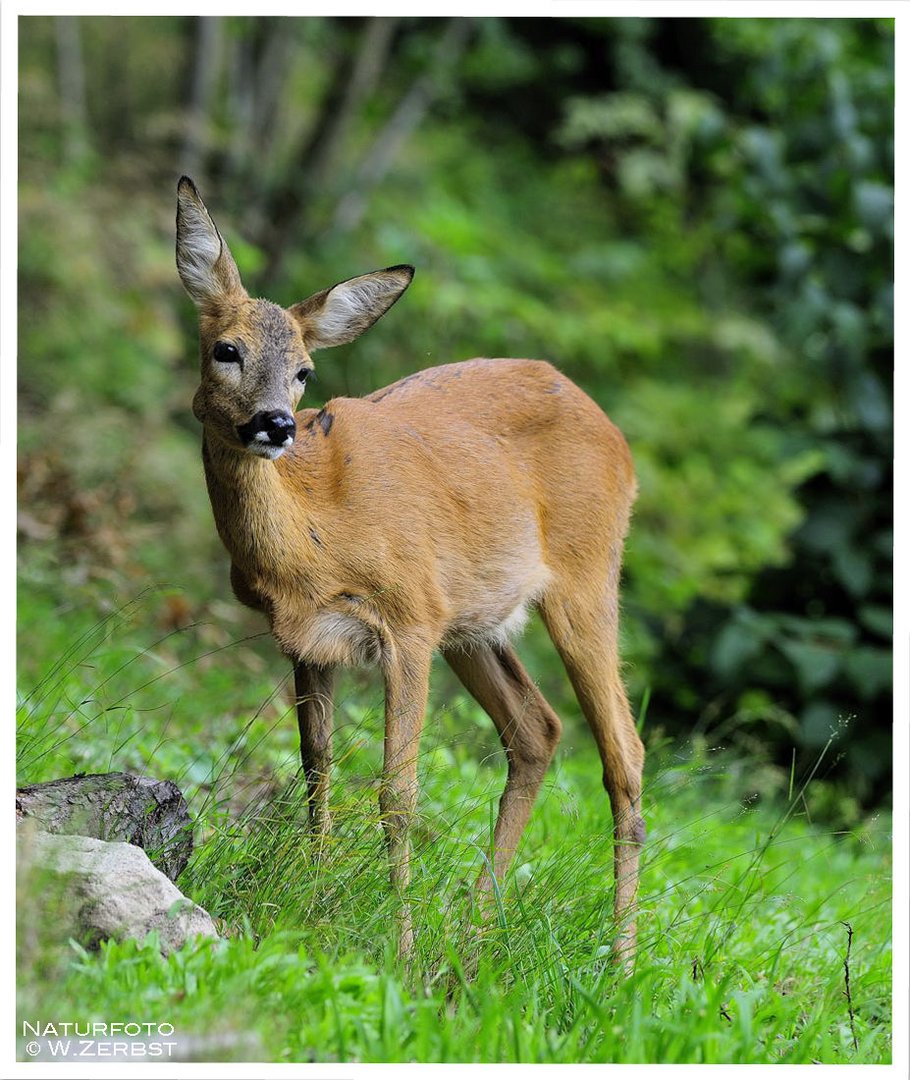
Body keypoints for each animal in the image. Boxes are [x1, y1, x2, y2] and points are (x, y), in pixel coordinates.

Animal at [175, 174, 647, 963]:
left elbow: (398, 794)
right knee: (537, 729)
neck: (315, 535)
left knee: (625, 752)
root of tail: (620, 439)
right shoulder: (307, 640)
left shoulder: (409, 620)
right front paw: (317, 902)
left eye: (304, 370)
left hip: (585, 577)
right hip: (476, 621)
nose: (275, 424)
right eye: (225, 349)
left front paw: (395, 943)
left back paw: (620, 961)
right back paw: (474, 931)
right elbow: (315, 769)